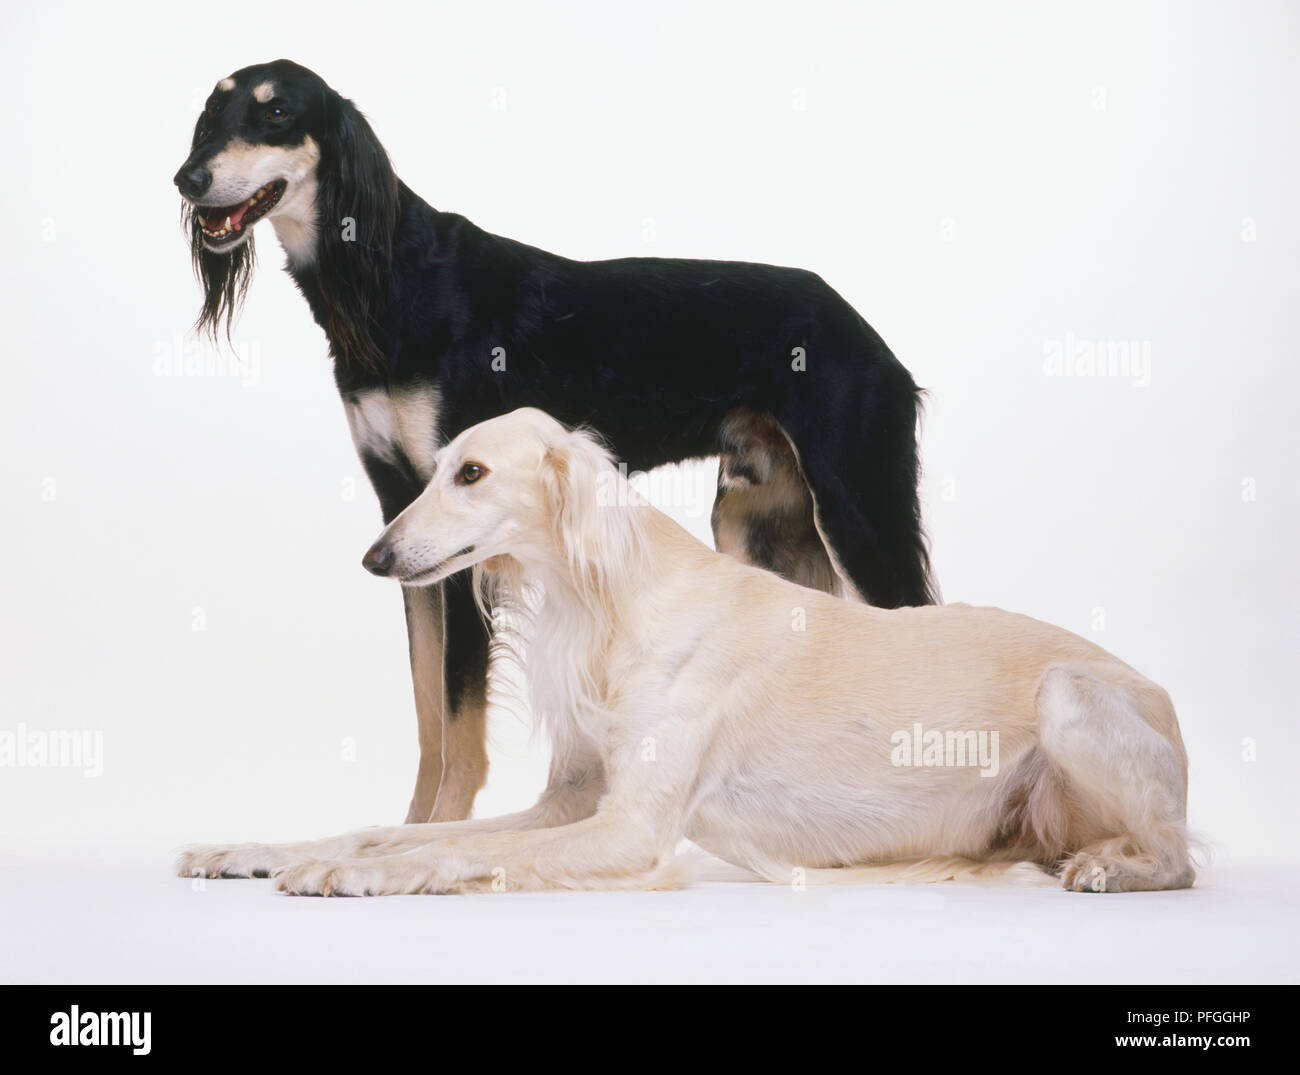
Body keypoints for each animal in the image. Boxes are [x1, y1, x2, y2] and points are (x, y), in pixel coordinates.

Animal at [178, 61, 941, 821]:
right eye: (212, 114)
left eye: (277, 113)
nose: (188, 178)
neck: (386, 280)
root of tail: (867, 331)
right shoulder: (404, 518)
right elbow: (428, 716)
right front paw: (411, 827)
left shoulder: (461, 540)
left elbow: (459, 726)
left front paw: (442, 830)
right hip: (755, 524)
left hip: (856, 514)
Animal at [178, 408, 1190, 894]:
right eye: (431, 473)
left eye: (471, 472)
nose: (376, 557)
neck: (610, 606)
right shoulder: (570, 800)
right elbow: (397, 826)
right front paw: (257, 848)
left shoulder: (630, 827)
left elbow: (445, 853)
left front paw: (355, 874)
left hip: (1068, 694)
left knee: (1178, 856)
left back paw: (1119, 866)